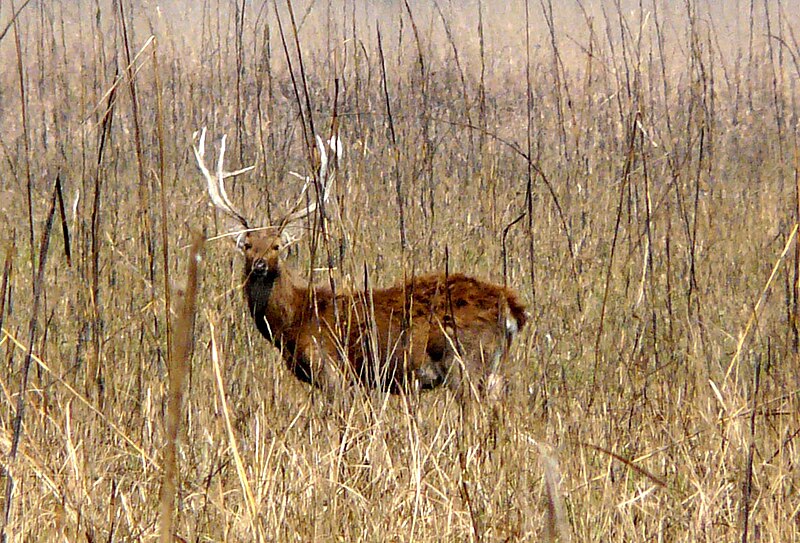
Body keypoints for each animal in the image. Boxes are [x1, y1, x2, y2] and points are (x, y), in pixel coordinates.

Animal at [193, 125, 528, 402]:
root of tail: (512, 308)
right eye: (247, 245)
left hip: (465, 362)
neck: (295, 320)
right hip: (492, 370)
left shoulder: (332, 370)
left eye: (278, 246)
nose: (260, 265)